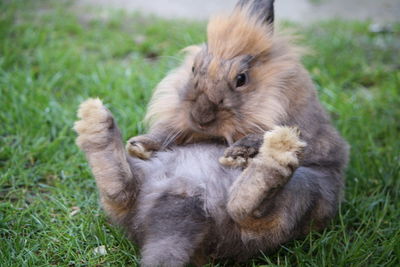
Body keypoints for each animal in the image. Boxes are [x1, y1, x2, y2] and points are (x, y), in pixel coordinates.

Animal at [74, 0, 346, 266]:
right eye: (194, 68)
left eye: (241, 79)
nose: (200, 116)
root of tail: (188, 199)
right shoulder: (176, 126)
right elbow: (164, 133)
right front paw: (139, 144)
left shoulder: (294, 122)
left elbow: (260, 136)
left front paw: (236, 154)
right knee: (119, 192)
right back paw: (94, 121)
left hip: (303, 191)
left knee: (245, 209)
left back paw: (279, 150)